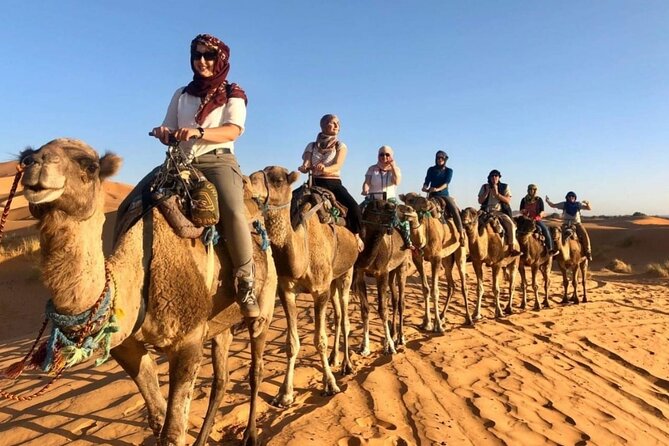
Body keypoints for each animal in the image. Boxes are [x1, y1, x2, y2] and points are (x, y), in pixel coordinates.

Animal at [17, 139, 277, 446]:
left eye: (89, 165)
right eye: (25, 156)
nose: (34, 164)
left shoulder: (188, 341)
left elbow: (173, 432)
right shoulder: (127, 346)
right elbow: (157, 418)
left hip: (265, 302)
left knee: (256, 367)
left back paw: (251, 434)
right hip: (218, 324)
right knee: (221, 378)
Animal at [248, 166, 358, 408]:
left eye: (278, 180)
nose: (248, 182)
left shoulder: (320, 291)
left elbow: (320, 340)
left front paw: (330, 384)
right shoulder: (287, 291)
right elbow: (291, 344)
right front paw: (284, 394)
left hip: (347, 273)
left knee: (345, 317)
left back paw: (346, 365)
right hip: (333, 280)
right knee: (338, 315)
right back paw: (335, 358)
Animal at [354, 199, 411, 355]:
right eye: (387, 207)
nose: (403, 212)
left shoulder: (382, 273)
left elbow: (382, 310)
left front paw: (390, 347)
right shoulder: (360, 273)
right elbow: (365, 310)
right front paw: (365, 347)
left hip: (402, 266)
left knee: (401, 302)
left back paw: (400, 338)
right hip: (392, 272)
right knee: (395, 300)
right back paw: (393, 335)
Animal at [399, 193, 470, 330]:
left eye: (422, 199)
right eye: (409, 199)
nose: (407, 210)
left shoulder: (436, 259)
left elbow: (435, 291)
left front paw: (438, 326)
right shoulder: (417, 259)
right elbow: (426, 289)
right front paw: (426, 323)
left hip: (460, 253)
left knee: (463, 285)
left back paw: (469, 319)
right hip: (447, 259)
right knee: (451, 285)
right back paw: (442, 316)